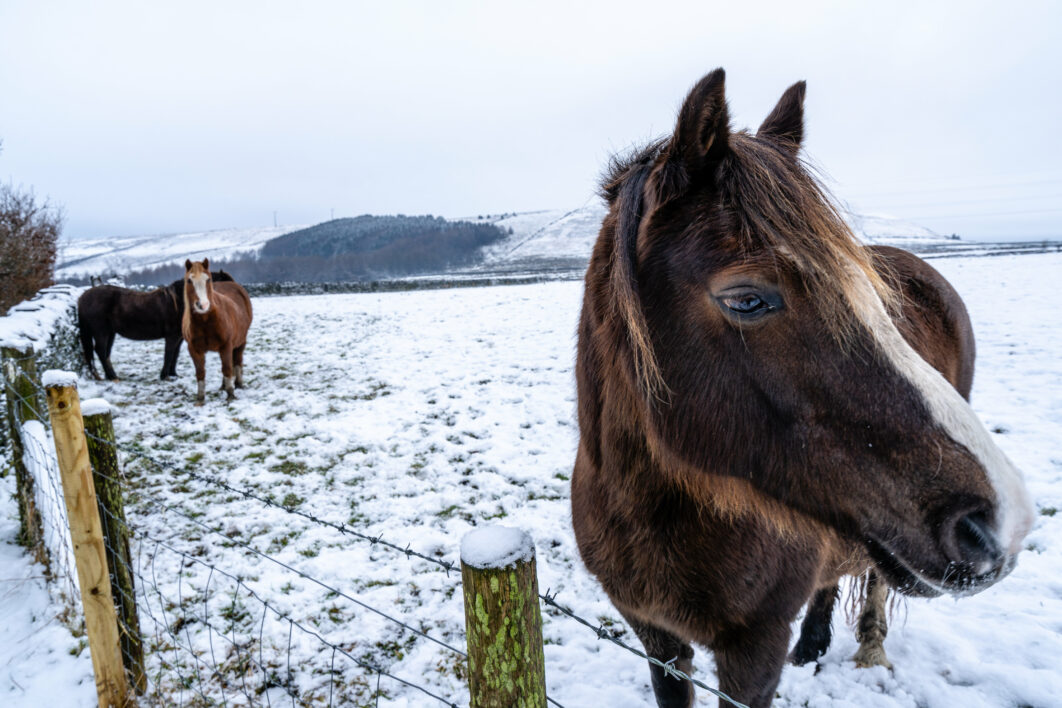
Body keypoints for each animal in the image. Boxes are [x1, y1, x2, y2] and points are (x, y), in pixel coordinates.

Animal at [78, 271, 234, 382]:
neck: (179, 302)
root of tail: (84, 296)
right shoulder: (171, 337)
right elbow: (168, 354)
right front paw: (164, 376)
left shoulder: (178, 338)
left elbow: (175, 355)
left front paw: (173, 374)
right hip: (101, 332)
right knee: (100, 350)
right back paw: (112, 376)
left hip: (110, 333)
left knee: (105, 353)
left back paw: (110, 376)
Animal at [181, 258, 251, 403]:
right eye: (189, 280)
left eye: (208, 279)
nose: (203, 305)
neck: (206, 321)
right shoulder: (194, 350)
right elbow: (200, 373)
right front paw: (200, 398)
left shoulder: (226, 346)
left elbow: (227, 369)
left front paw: (231, 394)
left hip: (241, 342)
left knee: (237, 361)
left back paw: (238, 384)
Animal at [569, 70, 1032, 708]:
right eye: (747, 299)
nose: (1000, 523)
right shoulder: (657, 640)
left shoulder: (753, 653)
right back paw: (813, 645)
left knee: (872, 581)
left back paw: (865, 648)